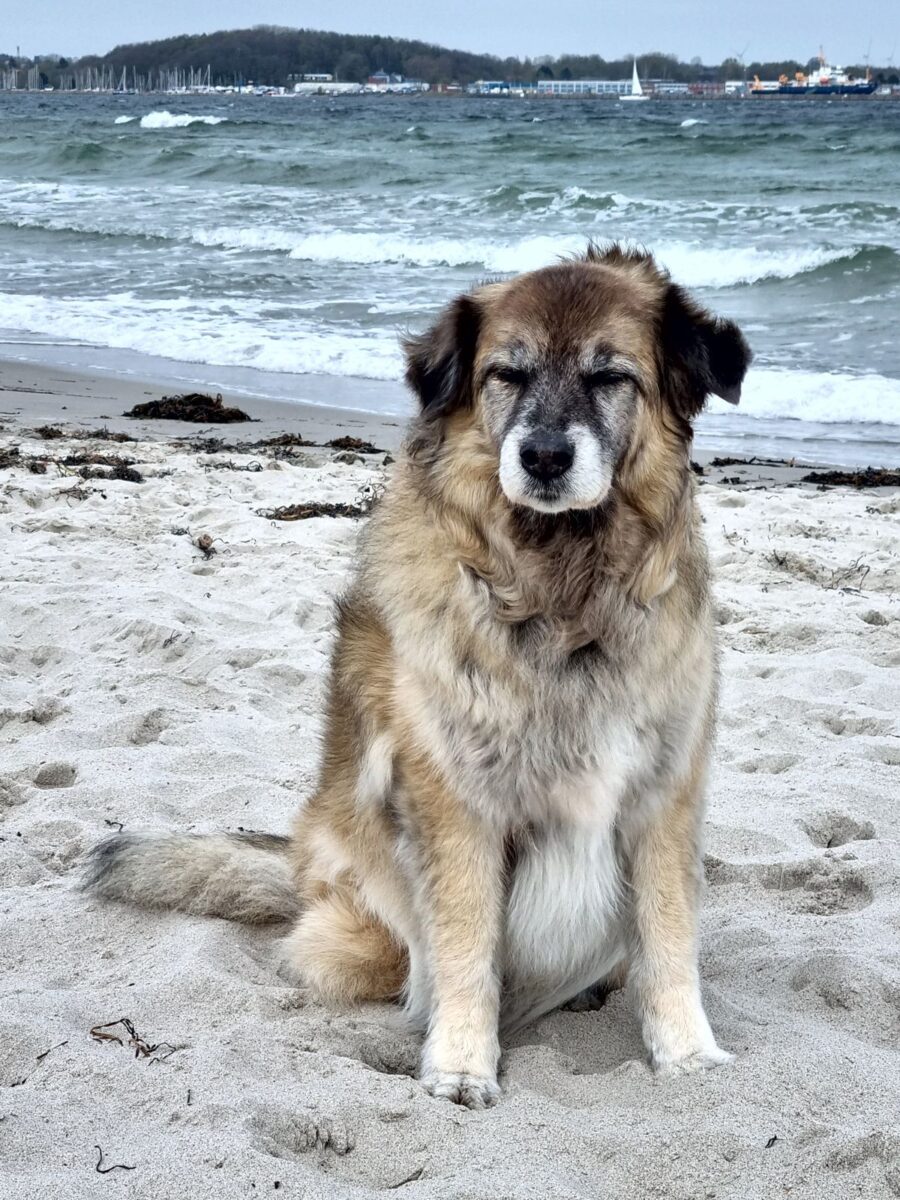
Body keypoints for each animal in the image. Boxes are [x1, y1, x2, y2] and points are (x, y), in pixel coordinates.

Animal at [84, 241, 748, 1104]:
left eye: (610, 377)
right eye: (508, 374)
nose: (543, 457)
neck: (560, 593)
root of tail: (296, 862)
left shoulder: (661, 794)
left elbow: (668, 933)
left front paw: (687, 1052)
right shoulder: (457, 803)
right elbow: (467, 941)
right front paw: (462, 1062)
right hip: (358, 923)